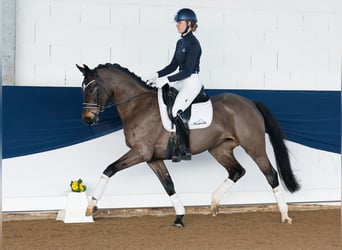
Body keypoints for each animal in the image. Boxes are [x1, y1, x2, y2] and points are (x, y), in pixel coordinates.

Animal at [77, 62, 300, 227]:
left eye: (93, 87)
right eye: (82, 88)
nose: (87, 119)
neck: (138, 106)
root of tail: (250, 102)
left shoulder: (140, 152)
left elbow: (109, 169)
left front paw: (90, 206)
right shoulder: (153, 158)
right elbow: (168, 185)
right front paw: (179, 216)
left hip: (254, 147)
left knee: (270, 174)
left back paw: (285, 215)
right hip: (219, 149)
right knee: (237, 171)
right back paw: (214, 204)